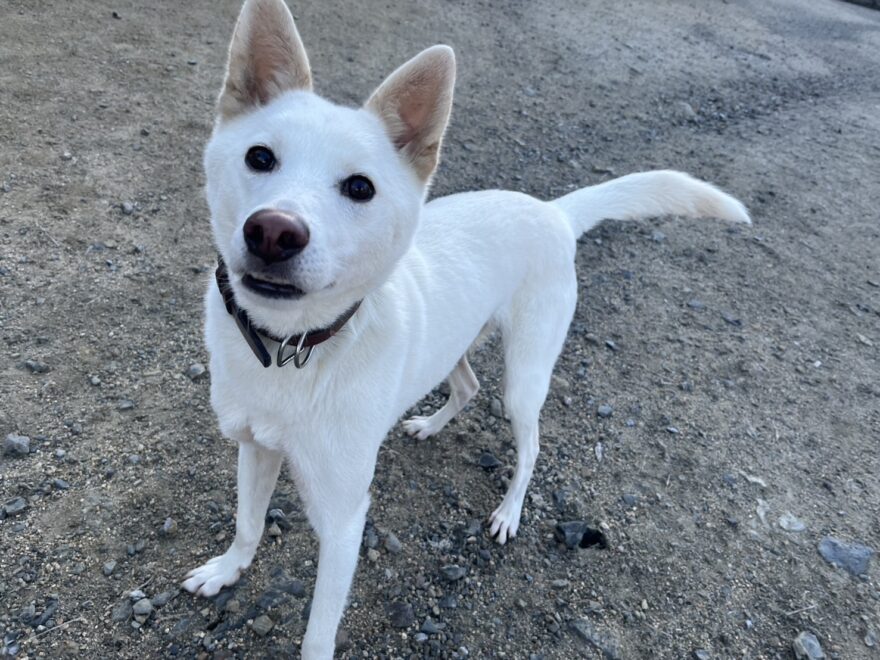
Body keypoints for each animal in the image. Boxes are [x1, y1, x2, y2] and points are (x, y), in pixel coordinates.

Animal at [181, 0, 751, 656]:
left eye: (360, 187)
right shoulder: (253, 446)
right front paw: (227, 570)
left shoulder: (345, 520)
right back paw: (430, 423)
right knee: (468, 385)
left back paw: (508, 513)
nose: (273, 231)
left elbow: (318, 632)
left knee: (529, 444)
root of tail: (555, 212)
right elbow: (248, 522)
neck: (292, 347)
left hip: (525, 379)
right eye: (259, 157)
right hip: (457, 341)